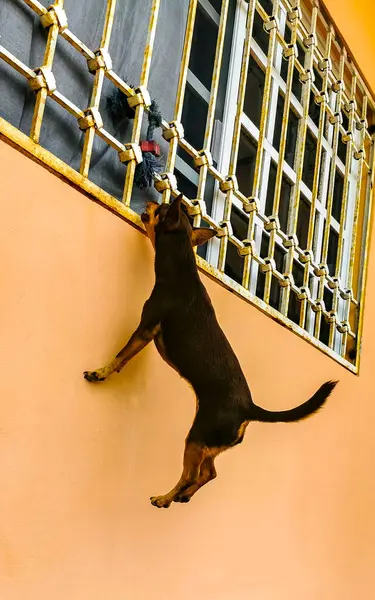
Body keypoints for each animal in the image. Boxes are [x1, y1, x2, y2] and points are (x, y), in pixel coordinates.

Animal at [84, 195, 338, 508]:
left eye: (161, 209)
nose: (154, 198)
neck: (181, 270)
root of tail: (249, 408)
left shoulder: (145, 329)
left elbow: (121, 355)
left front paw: (100, 372)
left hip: (196, 437)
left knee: (191, 475)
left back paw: (166, 497)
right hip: (207, 443)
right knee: (210, 473)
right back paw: (182, 496)